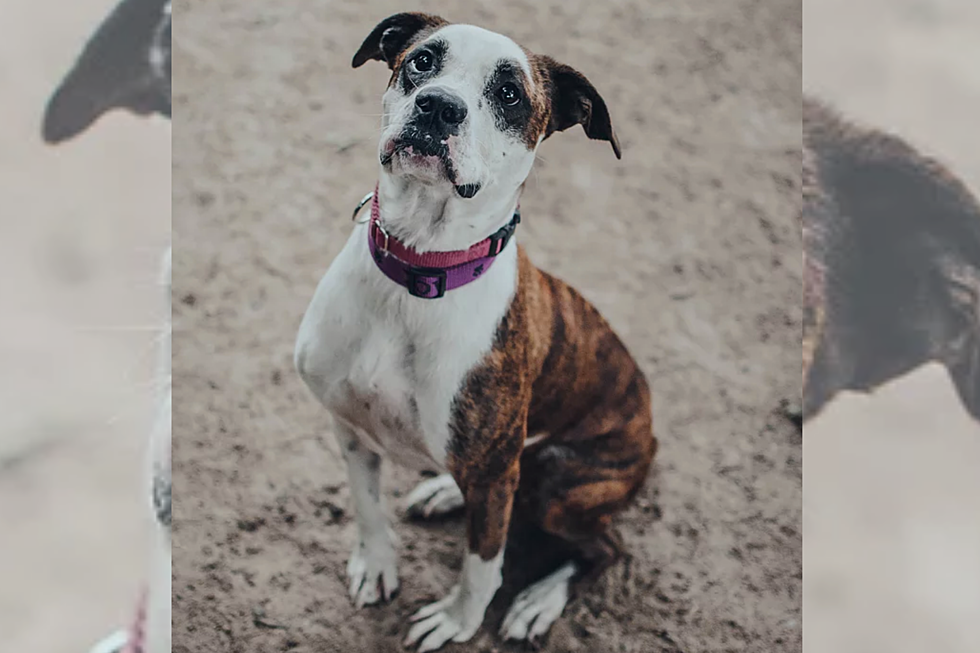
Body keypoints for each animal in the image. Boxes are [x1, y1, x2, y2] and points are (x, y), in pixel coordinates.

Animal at [294, 11, 656, 652]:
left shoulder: (492, 482)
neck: (418, 268)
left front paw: (457, 621)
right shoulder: (351, 428)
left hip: (559, 483)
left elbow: (483, 564)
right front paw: (376, 565)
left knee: (607, 547)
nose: (438, 106)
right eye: (422, 61)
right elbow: (367, 507)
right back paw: (444, 492)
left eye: (510, 93)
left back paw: (537, 602)